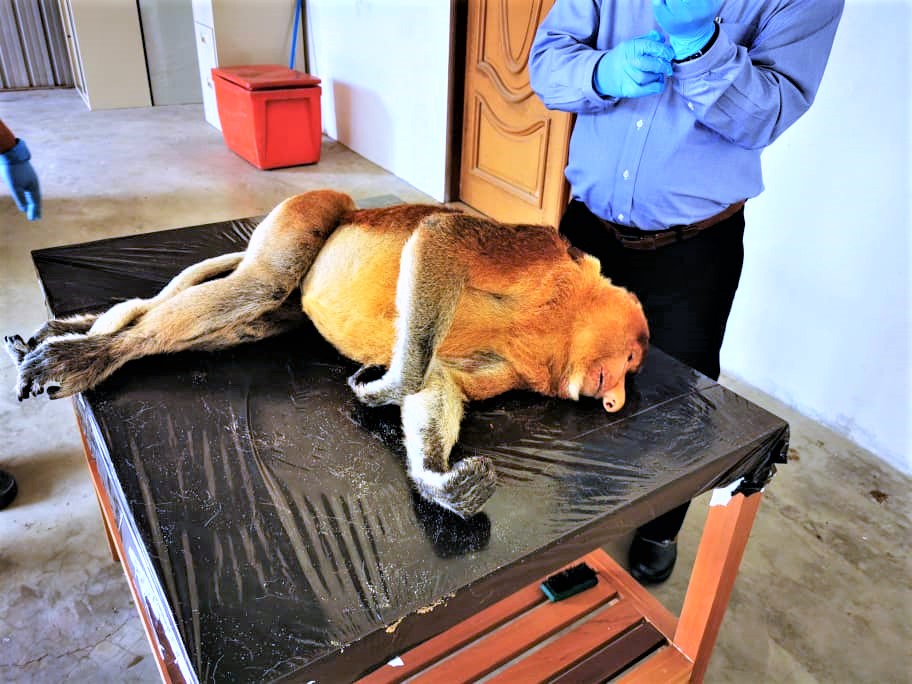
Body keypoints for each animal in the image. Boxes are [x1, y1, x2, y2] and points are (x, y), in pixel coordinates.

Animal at [5, 189, 648, 518]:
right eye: (631, 360)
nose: (615, 398)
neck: (566, 316)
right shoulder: (537, 252)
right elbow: (442, 236)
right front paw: (383, 384)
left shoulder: (510, 368)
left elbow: (442, 380)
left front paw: (440, 481)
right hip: (308, 210)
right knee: (259, 281)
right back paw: (94, 348)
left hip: (288, 303)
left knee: (253, 309)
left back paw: (78, 334)